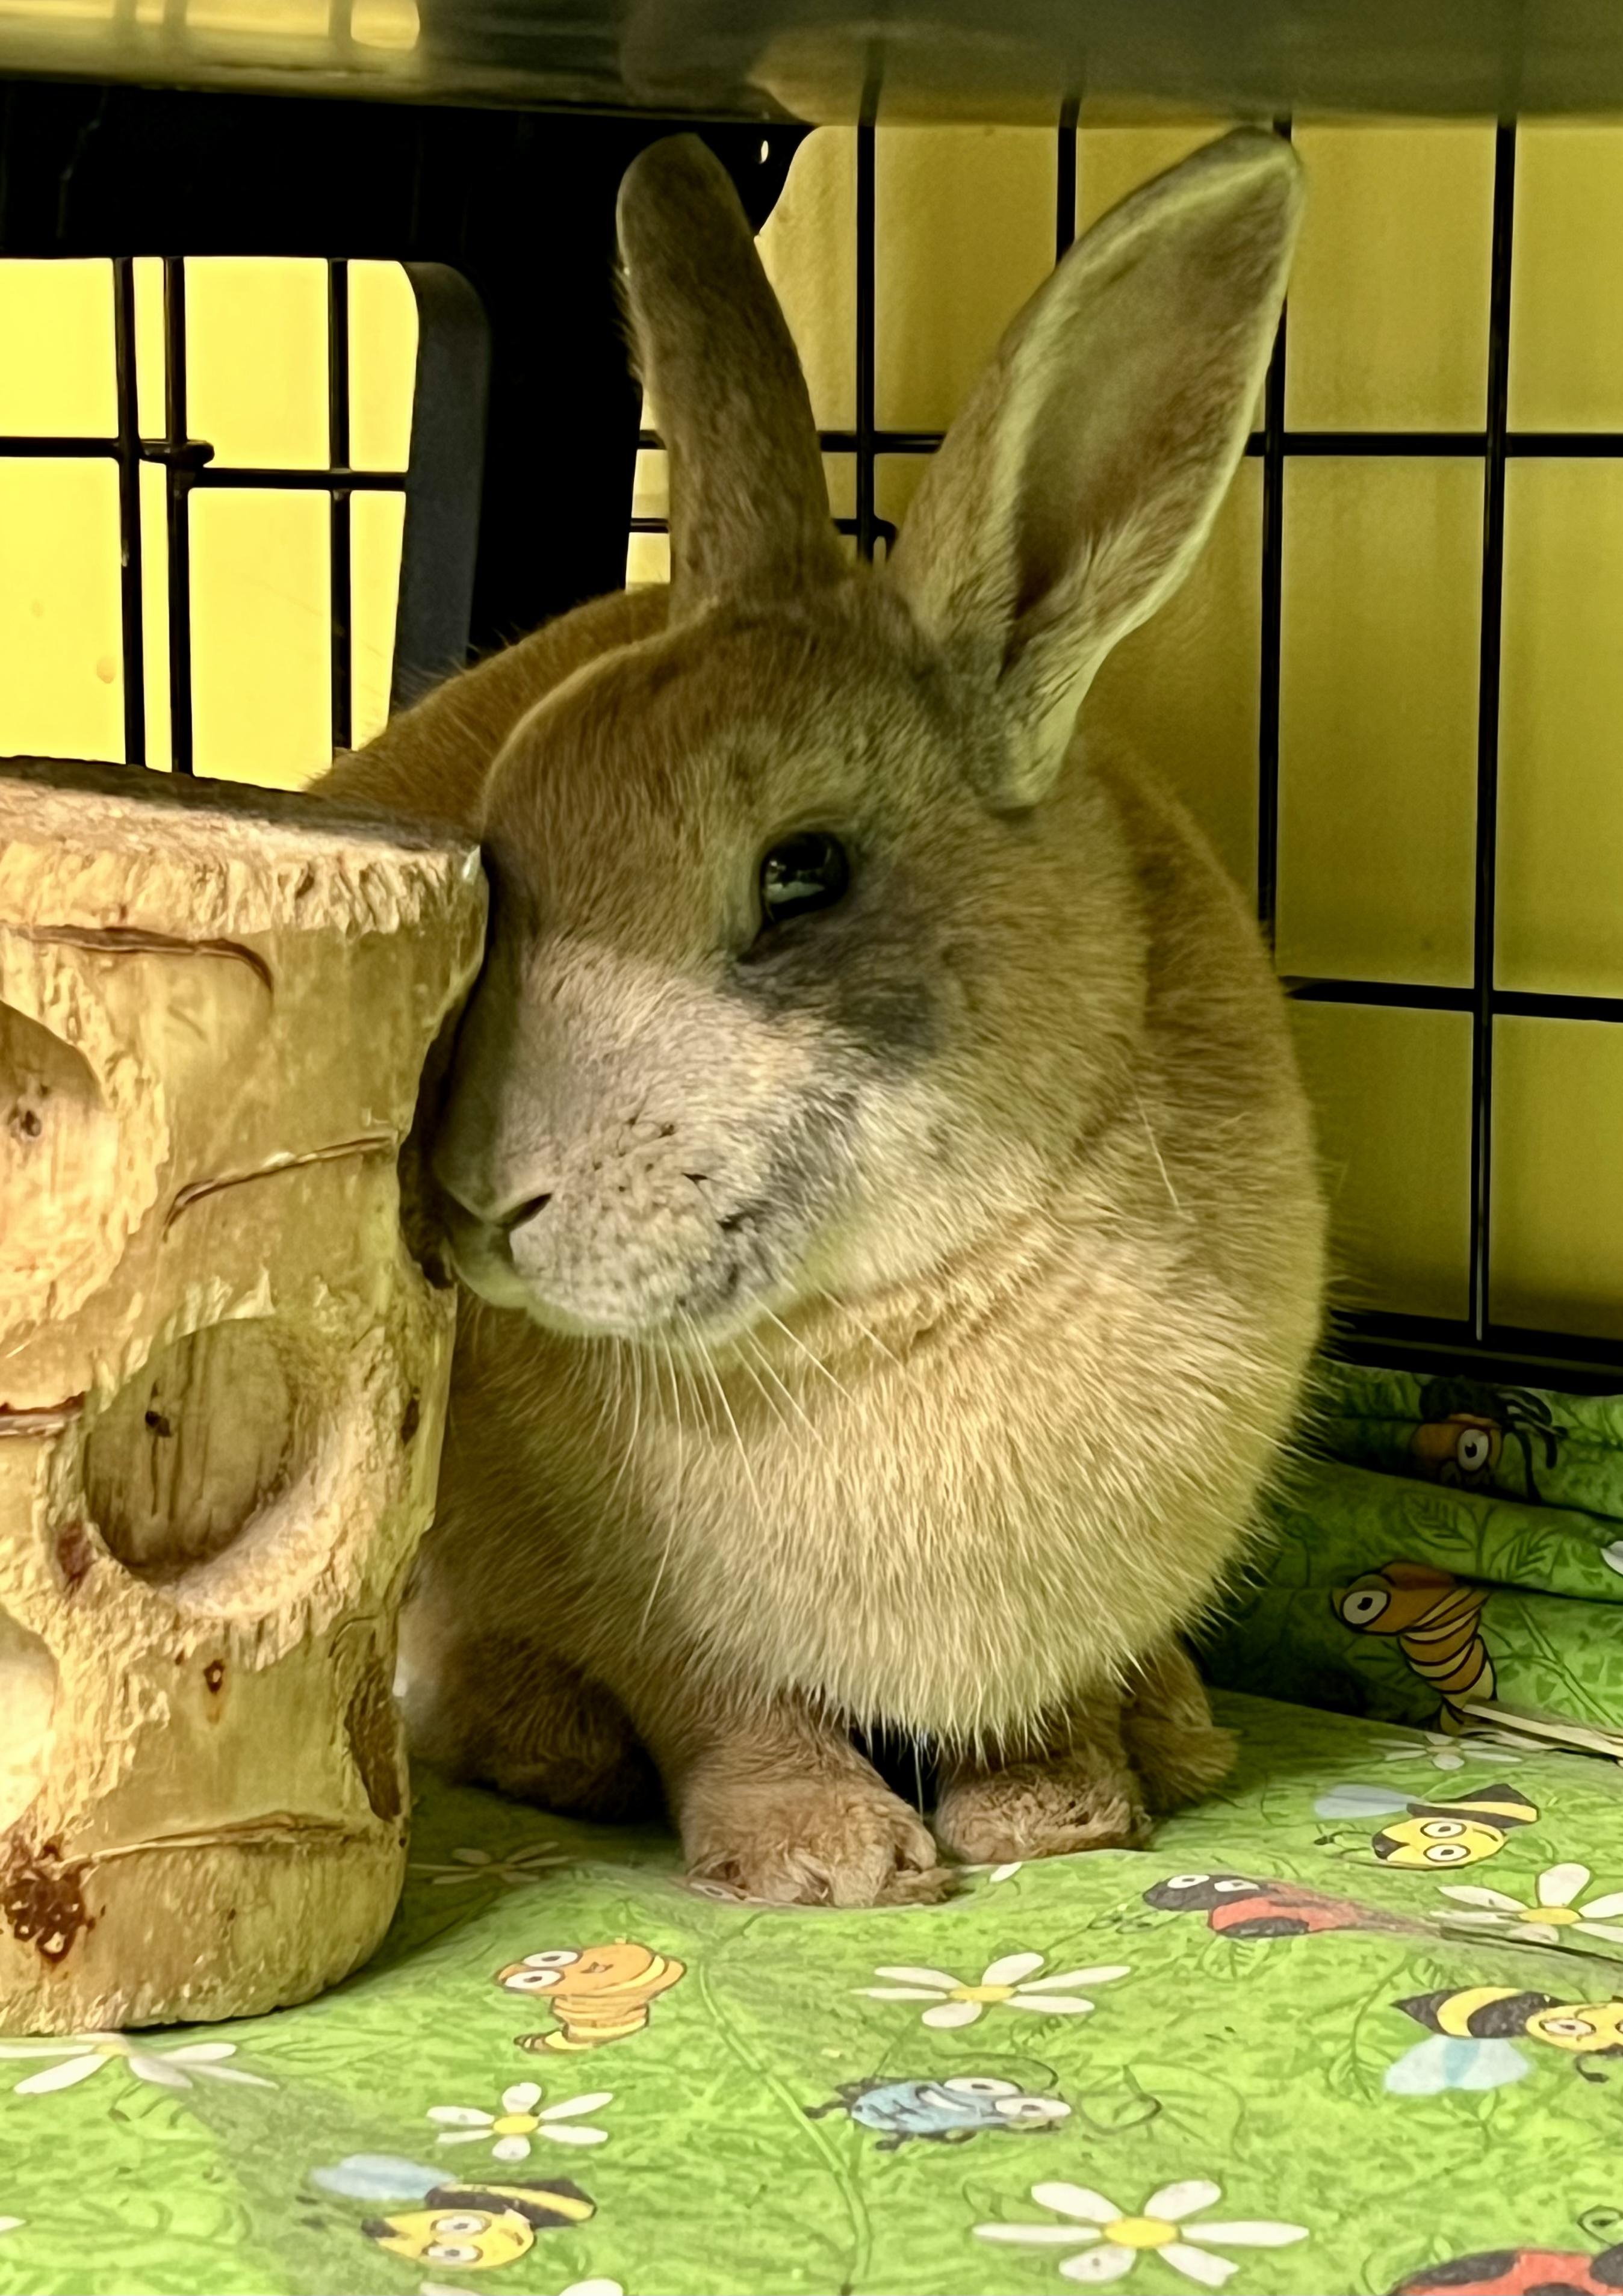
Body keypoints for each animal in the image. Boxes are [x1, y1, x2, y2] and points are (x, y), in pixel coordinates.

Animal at [321, 127, 1326, 1906]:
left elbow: (1037, 1709)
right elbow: (725, 1704)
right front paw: (826, 1860)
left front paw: (1057, 1816)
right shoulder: (653, 1622)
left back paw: (1178, 1729)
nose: (482, 1205)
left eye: (804, 872)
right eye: (495, 871)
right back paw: (552, 1746)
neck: (893, 1303)